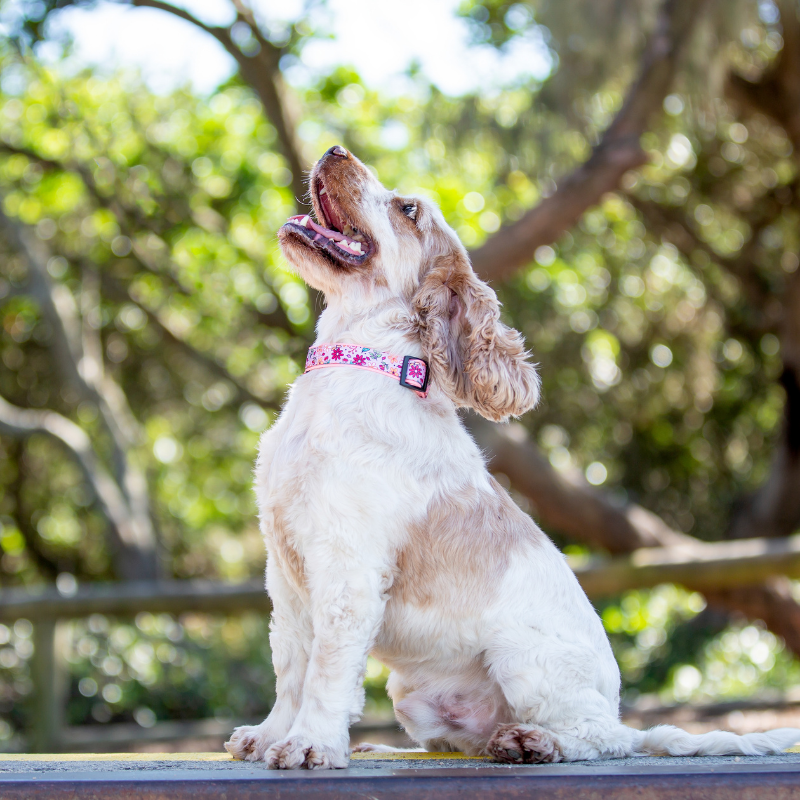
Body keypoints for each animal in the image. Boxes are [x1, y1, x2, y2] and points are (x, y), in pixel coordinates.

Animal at [223, 145, 800, 768]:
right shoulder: (285, 571)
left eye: (408, 209)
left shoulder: (347, 568)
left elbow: (326, 669)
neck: (353, 365)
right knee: (466, 741)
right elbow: (290, 664)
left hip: (525, 659)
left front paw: (309, 744)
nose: (334, 150)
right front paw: (269, 735)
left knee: (602, 738)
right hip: (413, 697)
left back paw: (535, 741)